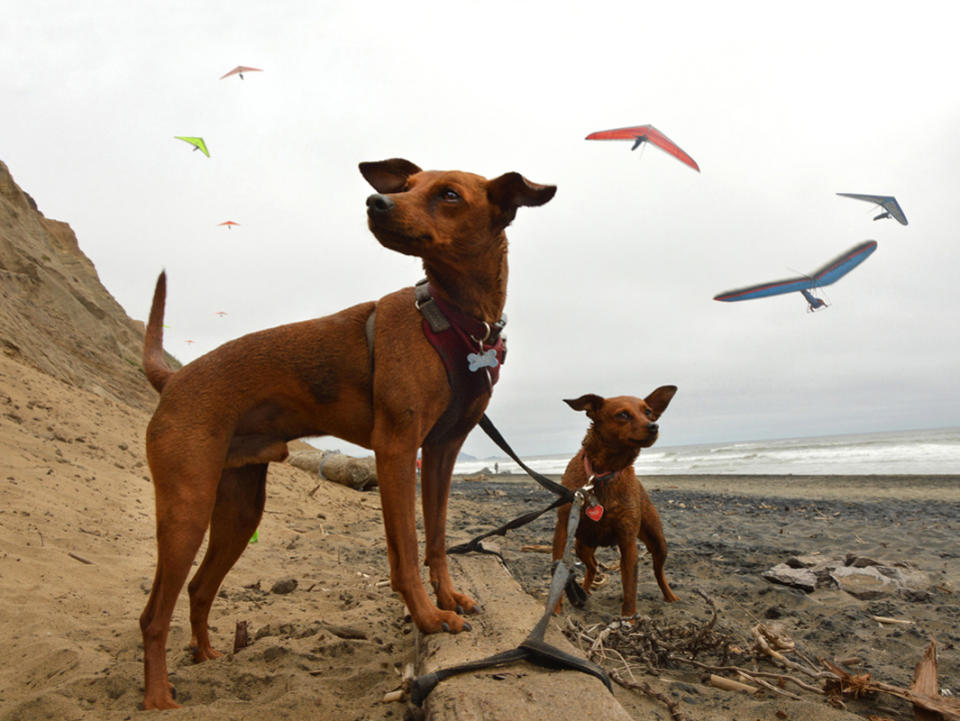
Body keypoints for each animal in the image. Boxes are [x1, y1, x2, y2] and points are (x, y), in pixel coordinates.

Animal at [137, 159, 556, 708]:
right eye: (405, 186)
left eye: (448, 194)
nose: (376, 203)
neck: (456, 321)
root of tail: (175, 378)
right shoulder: (395, 450)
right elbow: (405, 554)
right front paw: (429, 617)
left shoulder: (440, 453)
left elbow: (437, 538)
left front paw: (447, 597)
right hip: (187, 507)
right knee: (152, 616)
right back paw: (158, 698)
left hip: (239, 510)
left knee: (199, 588)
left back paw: (206, 655)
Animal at [552, 386, 680, 616]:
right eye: (622, 415)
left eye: (648, 412)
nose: (653, 425)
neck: (602, 474)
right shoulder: (564, 530)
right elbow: (559, 572)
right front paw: (554, 611)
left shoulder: (628, 541)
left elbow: (630, 588)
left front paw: (628, 619)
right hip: (582, 545)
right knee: (592, 567)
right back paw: (584, 590)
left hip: (658, 543)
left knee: (658, 572)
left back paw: (669, 596)